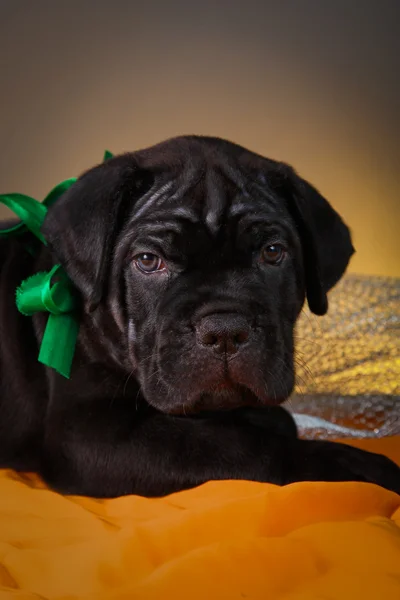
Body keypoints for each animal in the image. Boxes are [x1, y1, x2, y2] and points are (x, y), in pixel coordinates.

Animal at [0, 136, 400, 496]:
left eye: (272, 252)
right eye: (149, 260)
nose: (225, 331)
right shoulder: (89, 434)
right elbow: (228, 444)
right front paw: (348, 462)